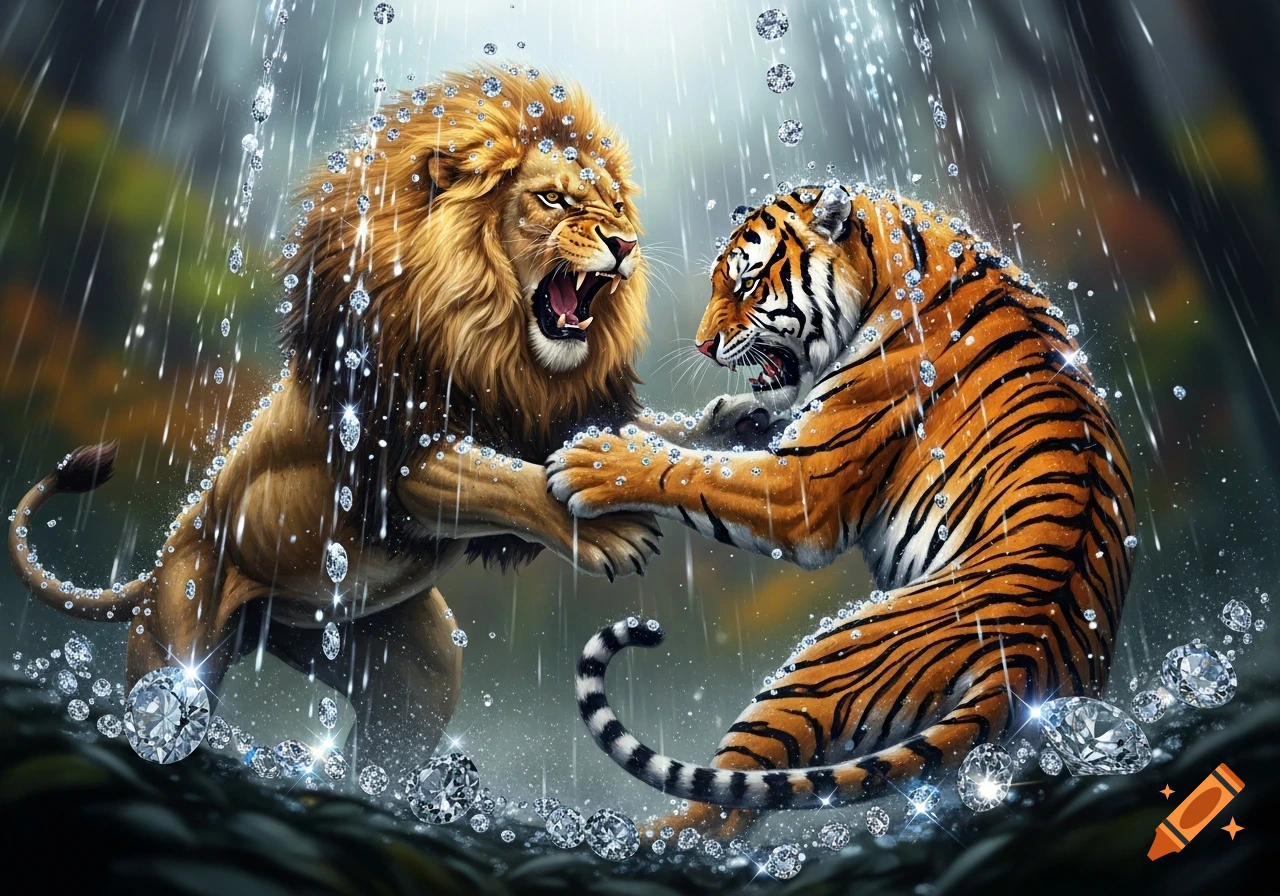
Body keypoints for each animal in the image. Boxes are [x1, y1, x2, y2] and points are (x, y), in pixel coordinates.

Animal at [7, 64, 742, 770]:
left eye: (615, 205)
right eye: (554, 200)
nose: (625, 243)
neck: (499, 349)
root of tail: (160, 559)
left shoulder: (546, 415)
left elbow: (641, 438)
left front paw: (735, 423)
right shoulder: (404, 455)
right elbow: (507, 481)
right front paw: (604, 532)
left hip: (408, 666)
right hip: (178, 637)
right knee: (167, 707)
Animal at [548, 182, 1137, 837]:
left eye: (746, 284)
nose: (703, 346)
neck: (890, 261)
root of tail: (1024, 668)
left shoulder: (803, 486)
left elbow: (695, 471)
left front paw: (591, 461)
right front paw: (727, 418)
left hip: (820, 667)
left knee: (721, 810)